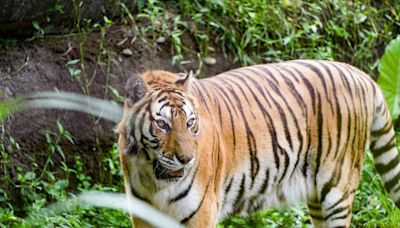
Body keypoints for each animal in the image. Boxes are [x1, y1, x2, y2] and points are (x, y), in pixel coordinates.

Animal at [115, 59, 400, 227]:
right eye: (162, 124)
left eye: (190, 123)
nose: (186, 159)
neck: (154, 178)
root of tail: (360, 74)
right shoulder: (142, 214)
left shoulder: (201, 213)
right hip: (318, 199)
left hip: (337, 191)